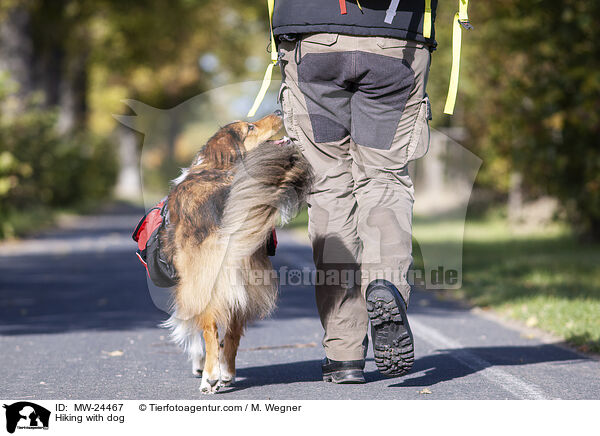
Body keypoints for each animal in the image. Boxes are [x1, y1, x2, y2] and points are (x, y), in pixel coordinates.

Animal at [159, 114, 314, 394]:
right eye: (250, 127)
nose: (278, 111)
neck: (216, 165)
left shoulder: (188, 284)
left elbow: (191, 328)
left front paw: (199, 364)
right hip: (245, 277)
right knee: (232, 331)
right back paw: (227, 372)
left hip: (207, 278)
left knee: (211, 330)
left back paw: (210, 377)